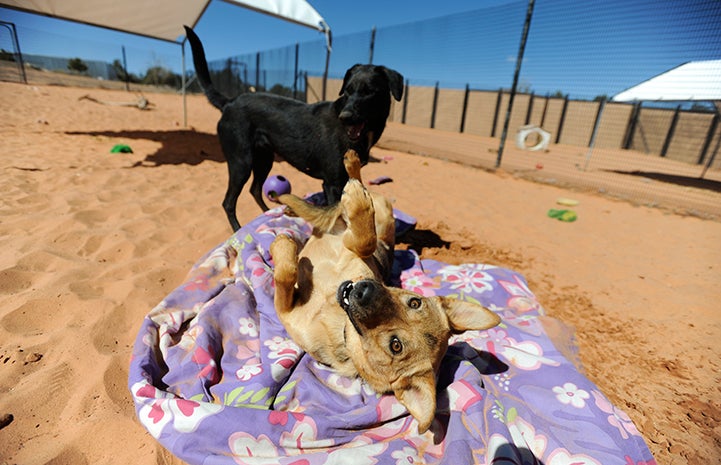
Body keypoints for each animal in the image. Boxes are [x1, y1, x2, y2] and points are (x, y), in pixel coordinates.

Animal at [183, 25, 402, 230]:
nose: (345, 117)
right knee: (228, 202)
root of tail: (230, 102)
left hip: (264, 159)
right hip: (241, 162)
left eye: (369, 91)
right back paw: (238, 229)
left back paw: (269, 215)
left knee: (255, 190)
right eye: (347, 91)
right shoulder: (333, 184)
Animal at [268, 150, 498, 432]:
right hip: (385, 219)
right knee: (355, 204)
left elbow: (285, 275)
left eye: (395, 345)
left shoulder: (285, 311)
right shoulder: (358, 251)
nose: (364, 290)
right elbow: (364, 240)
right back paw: (351, 170)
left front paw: (282, 246)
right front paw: (356, 200)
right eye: (414, 302)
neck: (340, 325)